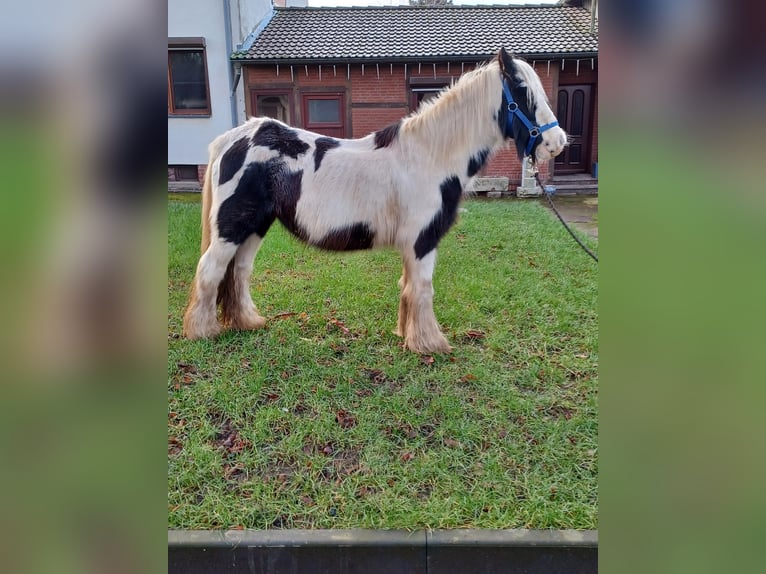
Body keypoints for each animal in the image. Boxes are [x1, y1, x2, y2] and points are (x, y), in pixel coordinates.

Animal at [183, 49, 568, 356]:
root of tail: (231, 139)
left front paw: (406, 335)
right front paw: (430, 344)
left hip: (254, 226)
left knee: (238, 272)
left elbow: (407, 287)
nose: (557, 143)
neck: (430, 156)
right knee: (211, 270)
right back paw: (202, 331)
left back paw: (247, 322)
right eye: (522, 93)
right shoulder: (422, 241)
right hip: (231, 228)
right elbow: (423, 289)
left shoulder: (413, 245)